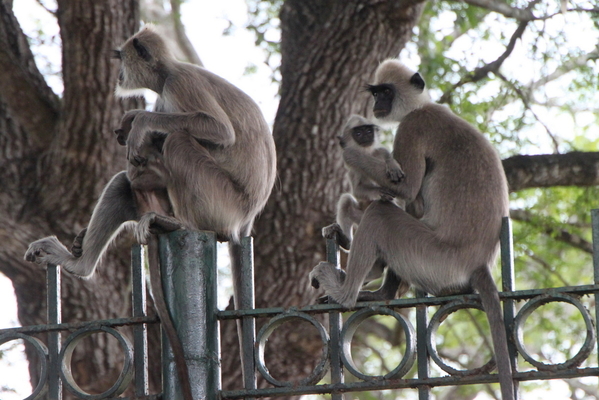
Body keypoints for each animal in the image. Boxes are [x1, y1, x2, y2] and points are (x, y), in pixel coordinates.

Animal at [23, 25, 276, 400]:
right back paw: (78, 264)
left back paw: (177, 221)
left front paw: (142, 123)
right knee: (124, 181)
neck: (167, 72)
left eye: (120, 58)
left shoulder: (179, 84)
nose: (117, 73)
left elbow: (218, 131)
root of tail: (245, 220)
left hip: (222, 201)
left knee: (178, 141)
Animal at [310, 59, 516, 400]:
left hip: (432, 256)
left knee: (381, 214)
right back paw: (380, 289)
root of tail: (478, 263)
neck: (424, 106)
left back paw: (347, 293)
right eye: (376, 92)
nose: (377, 104)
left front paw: (351, 153)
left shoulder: (414, 125)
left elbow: (404, 190)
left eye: (386, 92)